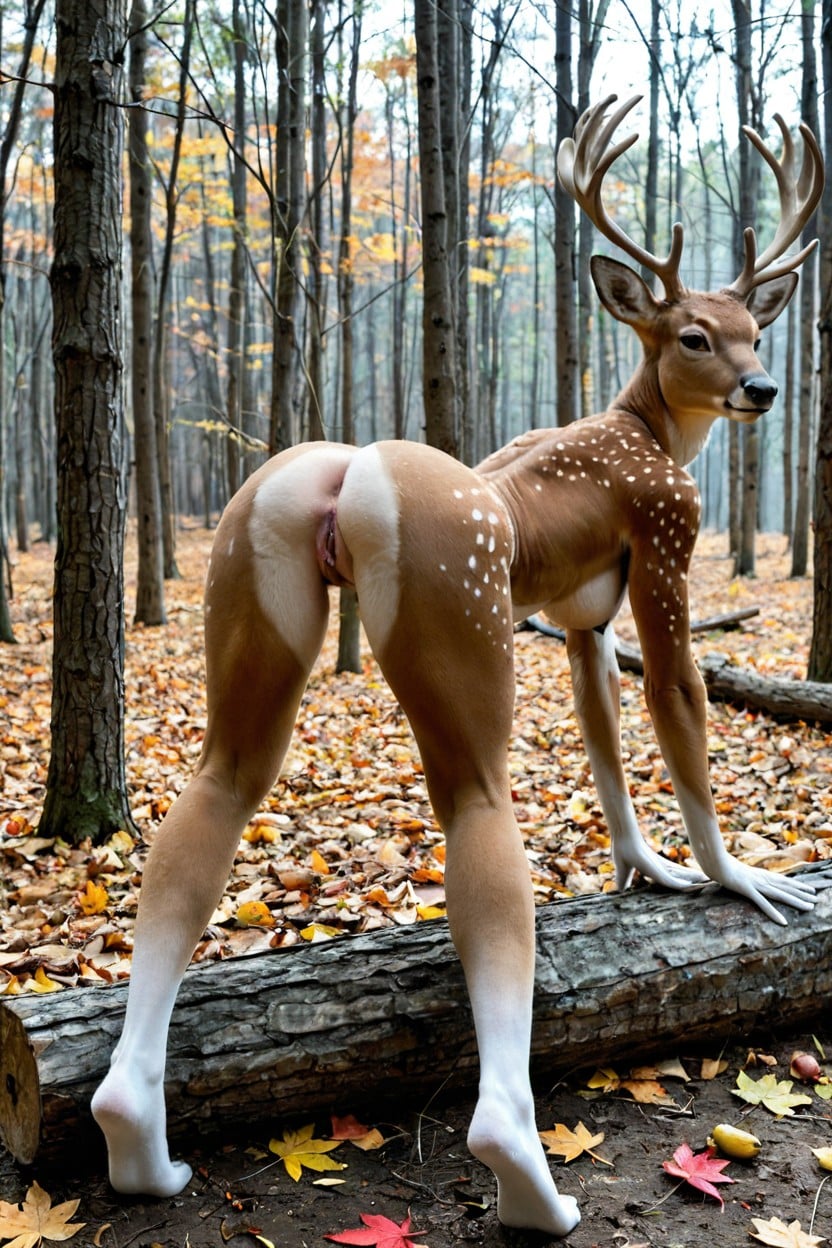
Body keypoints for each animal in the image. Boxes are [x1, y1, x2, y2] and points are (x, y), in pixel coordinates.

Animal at [92, 96, 824, 1237]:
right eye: (693, 336)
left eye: (760, 328)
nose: (762, 386)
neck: (649, 428)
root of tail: (350, 478)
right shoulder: (667, 536)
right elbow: (677, 700)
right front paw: (732, 877)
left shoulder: (579, 619)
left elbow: (605, 735)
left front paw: (642, 866)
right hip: (461, 601)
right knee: (479, 806)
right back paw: (528, 1178)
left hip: (252, 556)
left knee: (219, 785)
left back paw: (137, 1140)